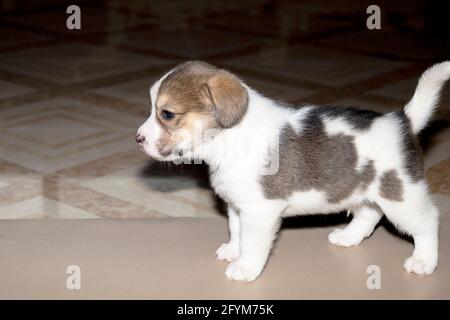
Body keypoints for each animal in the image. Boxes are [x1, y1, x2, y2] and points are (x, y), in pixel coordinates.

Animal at [137, 61, 450, 282]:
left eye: (167, 114)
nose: (138, 138)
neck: (229, 137)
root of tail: (403, 120)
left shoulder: (259, 212)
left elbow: (252, 243)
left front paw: (245, 268)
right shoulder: (237, 207)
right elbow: (236, 232)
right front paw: (232, 250)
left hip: (402, 197)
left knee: (427, 223)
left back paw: (424, 261)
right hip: (364, 190)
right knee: (369, 215)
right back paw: (348, 237)